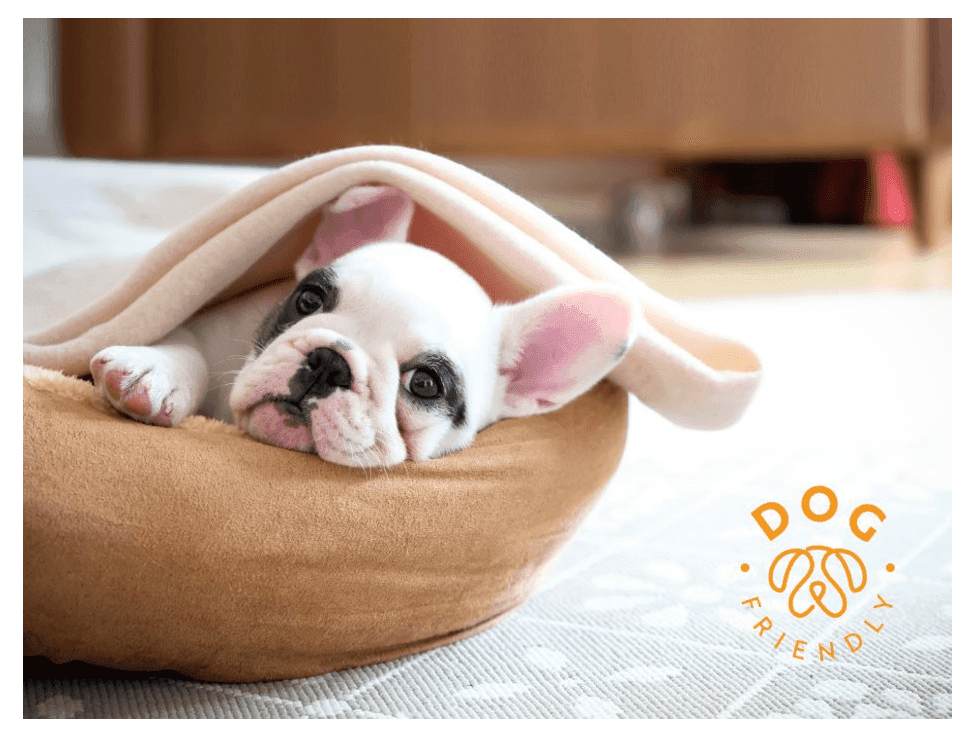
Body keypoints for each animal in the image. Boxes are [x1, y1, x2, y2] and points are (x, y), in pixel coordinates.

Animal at [89, 186, 640, 466]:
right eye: (308, 299)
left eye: (425, 383)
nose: (329, 362)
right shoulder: (212, 324)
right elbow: (187, 342)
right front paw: (151, 372)